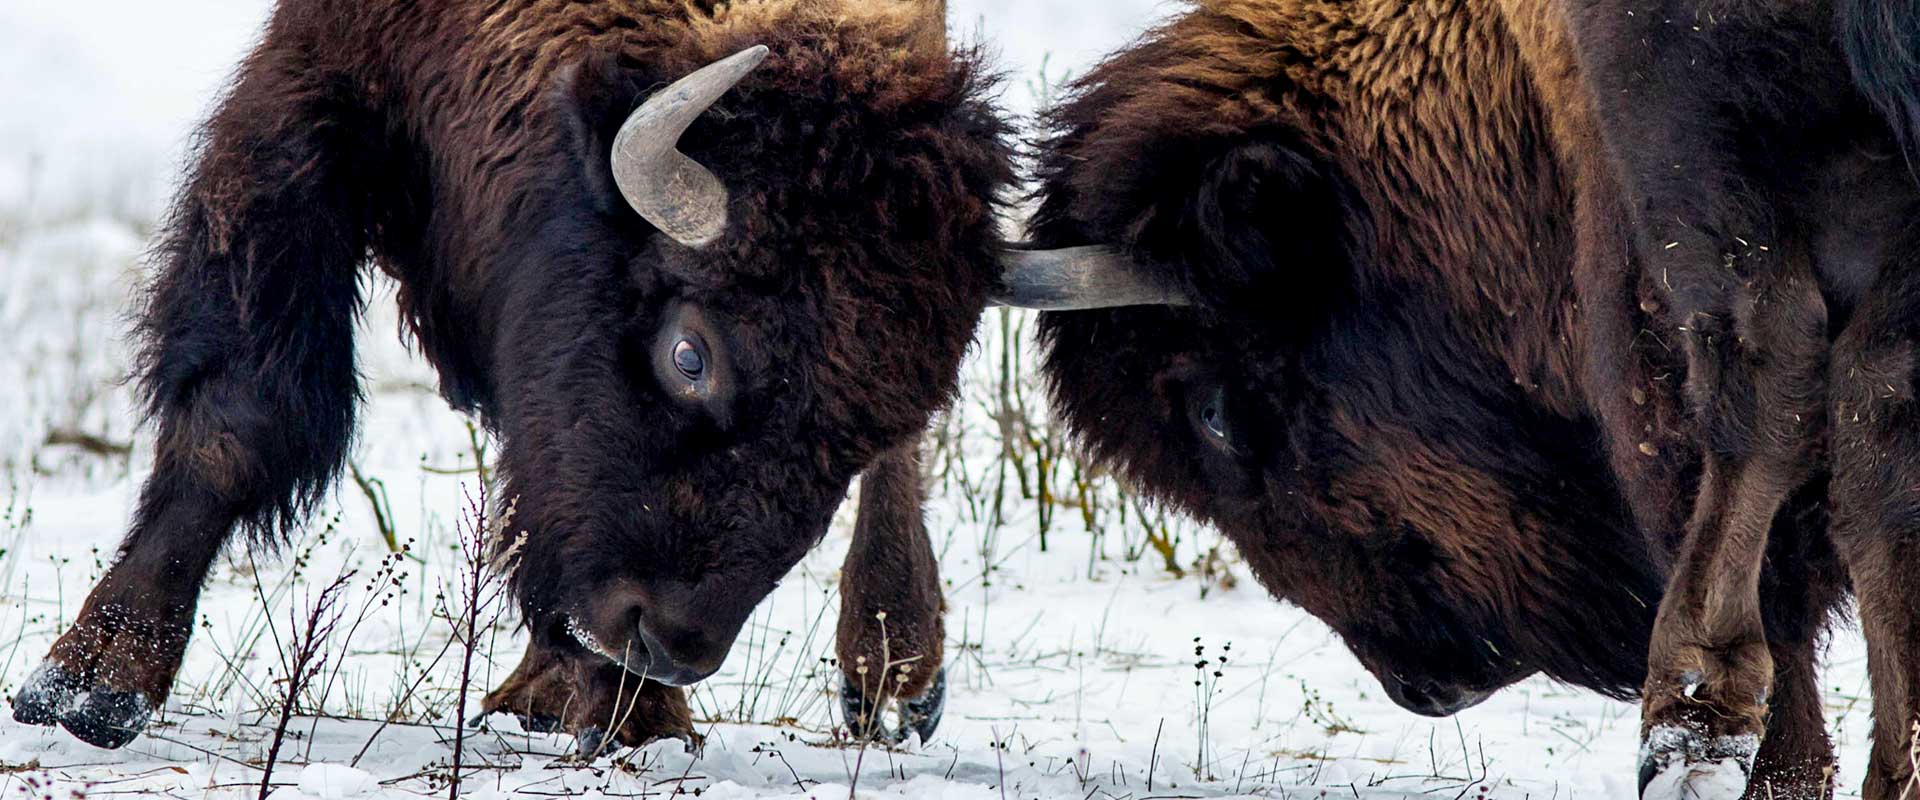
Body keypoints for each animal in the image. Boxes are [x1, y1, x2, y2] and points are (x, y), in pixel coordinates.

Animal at [15, 0, 1021, 748]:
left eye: (859, 433)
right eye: (688, 354)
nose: (667, 645)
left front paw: (635, 719)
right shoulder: (318, 95)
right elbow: (241, 415)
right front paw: (86, 685)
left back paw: (889, 675)